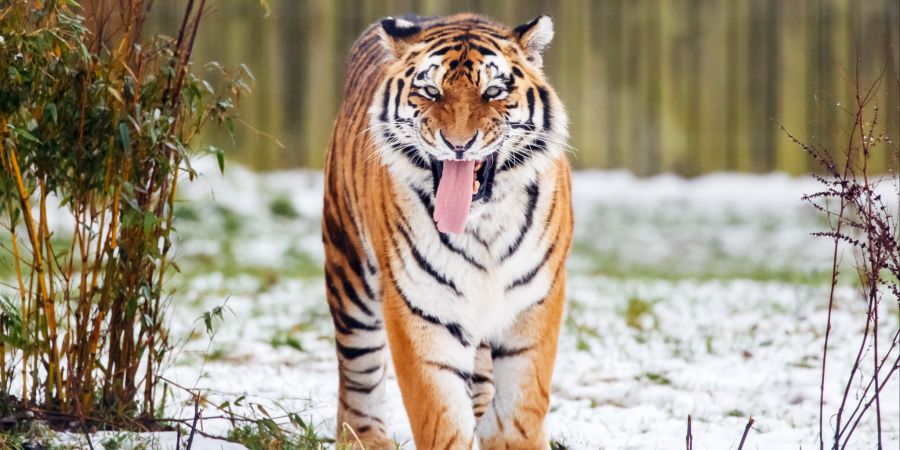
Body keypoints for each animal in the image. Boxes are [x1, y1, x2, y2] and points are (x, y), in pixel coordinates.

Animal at [322, 12, 573, 450]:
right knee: (358, 371)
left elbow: (520, 408)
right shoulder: (420, 309)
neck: (483, 226)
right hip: (349, 271)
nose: (458, 144)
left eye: (493, 92)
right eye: (430, 92)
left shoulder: (535, 302)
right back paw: (365, 438)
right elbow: (440, 414)